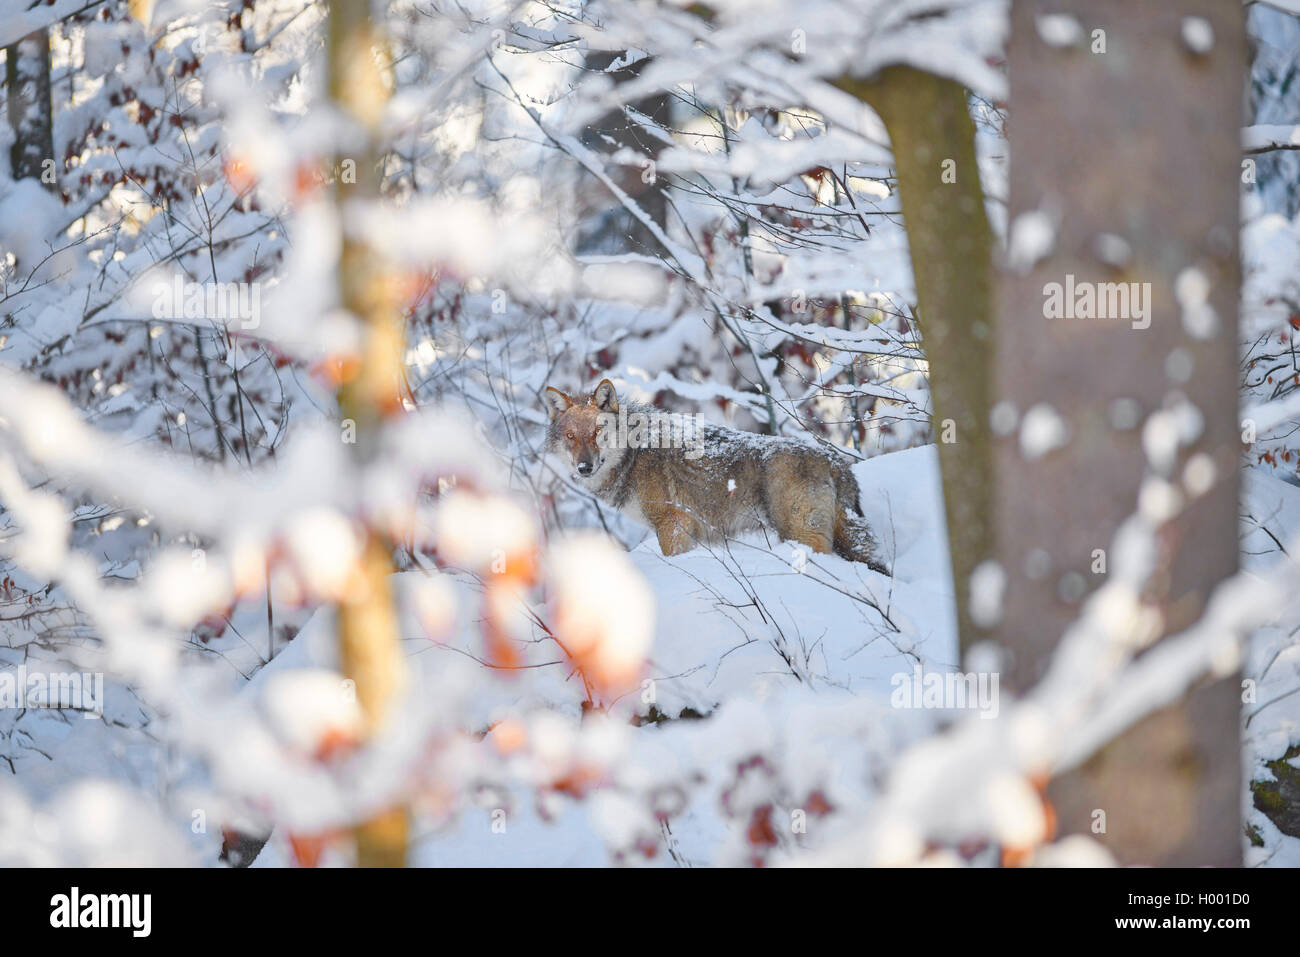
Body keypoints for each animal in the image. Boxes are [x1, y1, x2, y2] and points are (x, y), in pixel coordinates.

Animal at [545, 380, 888, 574]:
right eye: (571, 437)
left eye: (597, 432)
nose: (584, 467)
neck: (635, 453)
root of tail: (837, 462)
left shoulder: (673, 525)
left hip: (800, 534)